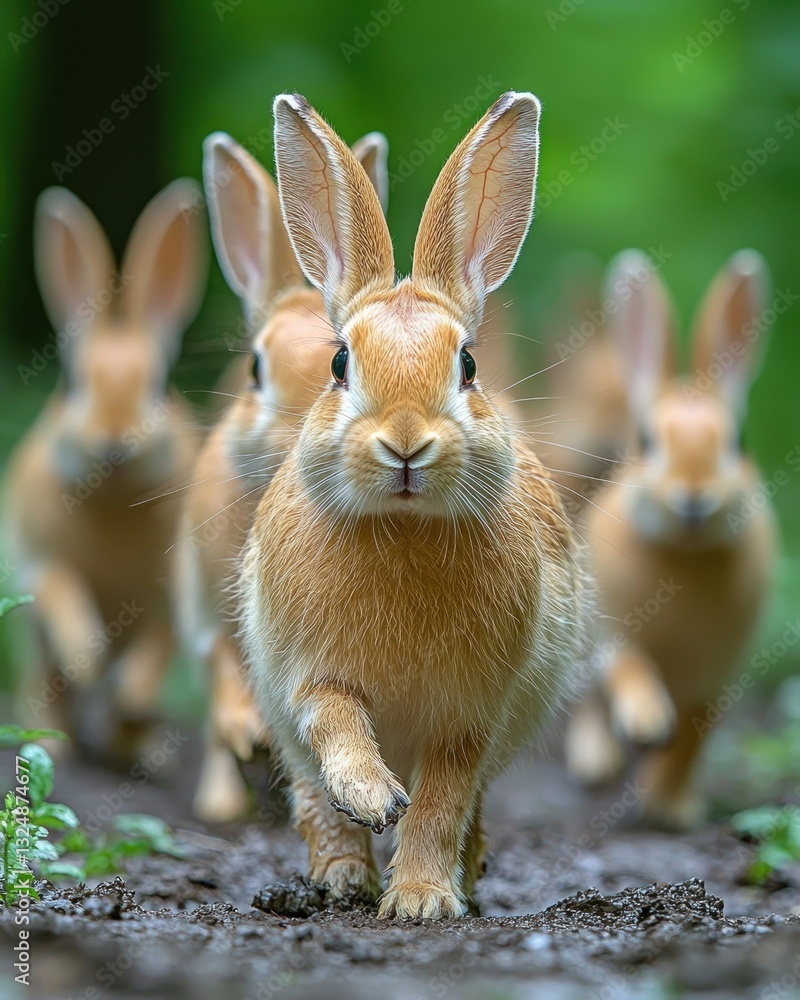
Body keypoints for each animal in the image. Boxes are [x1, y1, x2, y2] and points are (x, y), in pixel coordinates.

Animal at [5, 180, 207, 755]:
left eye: (159, 386)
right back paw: (54, 740)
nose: (114, 440)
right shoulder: (39, 558)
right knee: (49, 688)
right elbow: (61, 590)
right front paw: (88, 656)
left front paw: (127, 687)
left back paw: (139, 741)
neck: (114, 495)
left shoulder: (170, 593)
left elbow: (159, 644)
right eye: (72, 383)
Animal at [239, 91, 591, 919]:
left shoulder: (469, 716)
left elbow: (439, 802)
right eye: (341, 362)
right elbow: (336, 723)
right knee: (312, 795)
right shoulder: (310, 675)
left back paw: (462, 877)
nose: (405, 443)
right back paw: (340, 878)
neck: (401, 529)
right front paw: (373, 799)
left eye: (468, 365)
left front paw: (423, 902)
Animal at [564, 249, 778, 829]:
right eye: (645, 441)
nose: (694, 494)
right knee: (589, 702)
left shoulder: (715, 676)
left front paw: (671, 807)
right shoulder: (612, 629)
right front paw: (645, 724)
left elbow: (694, 739)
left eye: (738, 442)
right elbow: (629, 667)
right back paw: (597, 760)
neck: (686, 553)